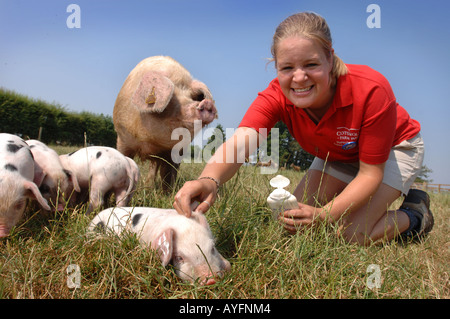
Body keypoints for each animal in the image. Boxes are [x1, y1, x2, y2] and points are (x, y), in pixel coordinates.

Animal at [112, 55, 218, 190]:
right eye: (170, 99)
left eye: (192, 96)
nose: (206, 103)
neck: (149, 140)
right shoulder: (122, 138)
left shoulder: (176, 151)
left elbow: (168, 174)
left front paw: (168, 193)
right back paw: (148, 187)